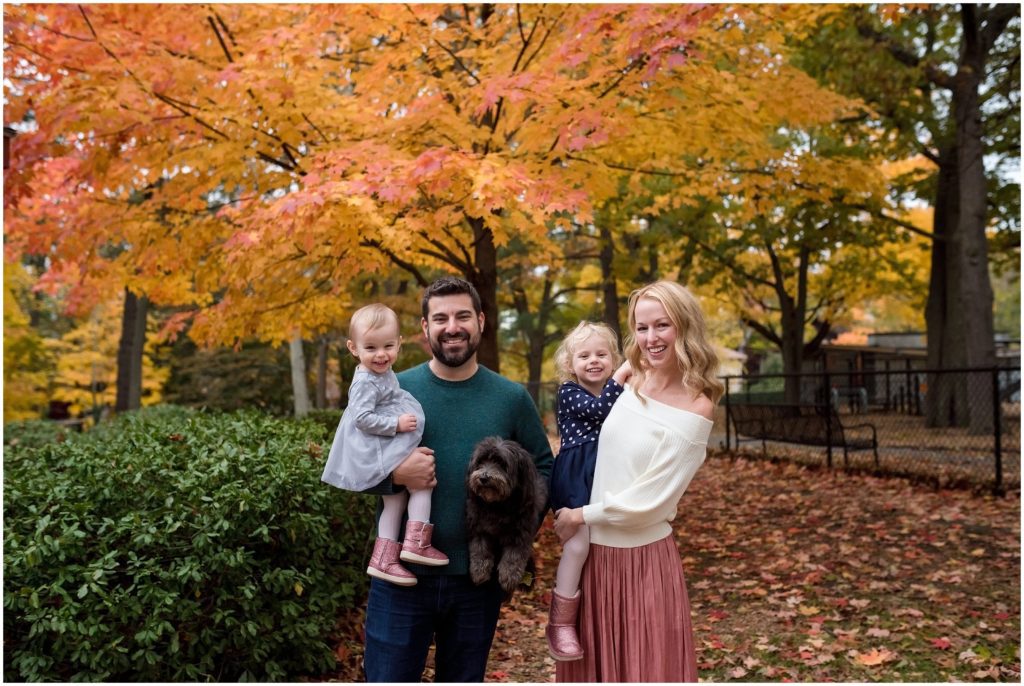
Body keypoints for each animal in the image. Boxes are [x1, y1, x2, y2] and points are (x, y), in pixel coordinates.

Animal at [464, 440, 548, 597]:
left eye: (502, 464)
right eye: (481, 462)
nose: (483, 478)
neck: (497, 506)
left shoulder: (521, 532)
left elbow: (514, 556)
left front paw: (509, 576)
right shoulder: (479, 527)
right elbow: (480, 549)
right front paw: (479, 571)